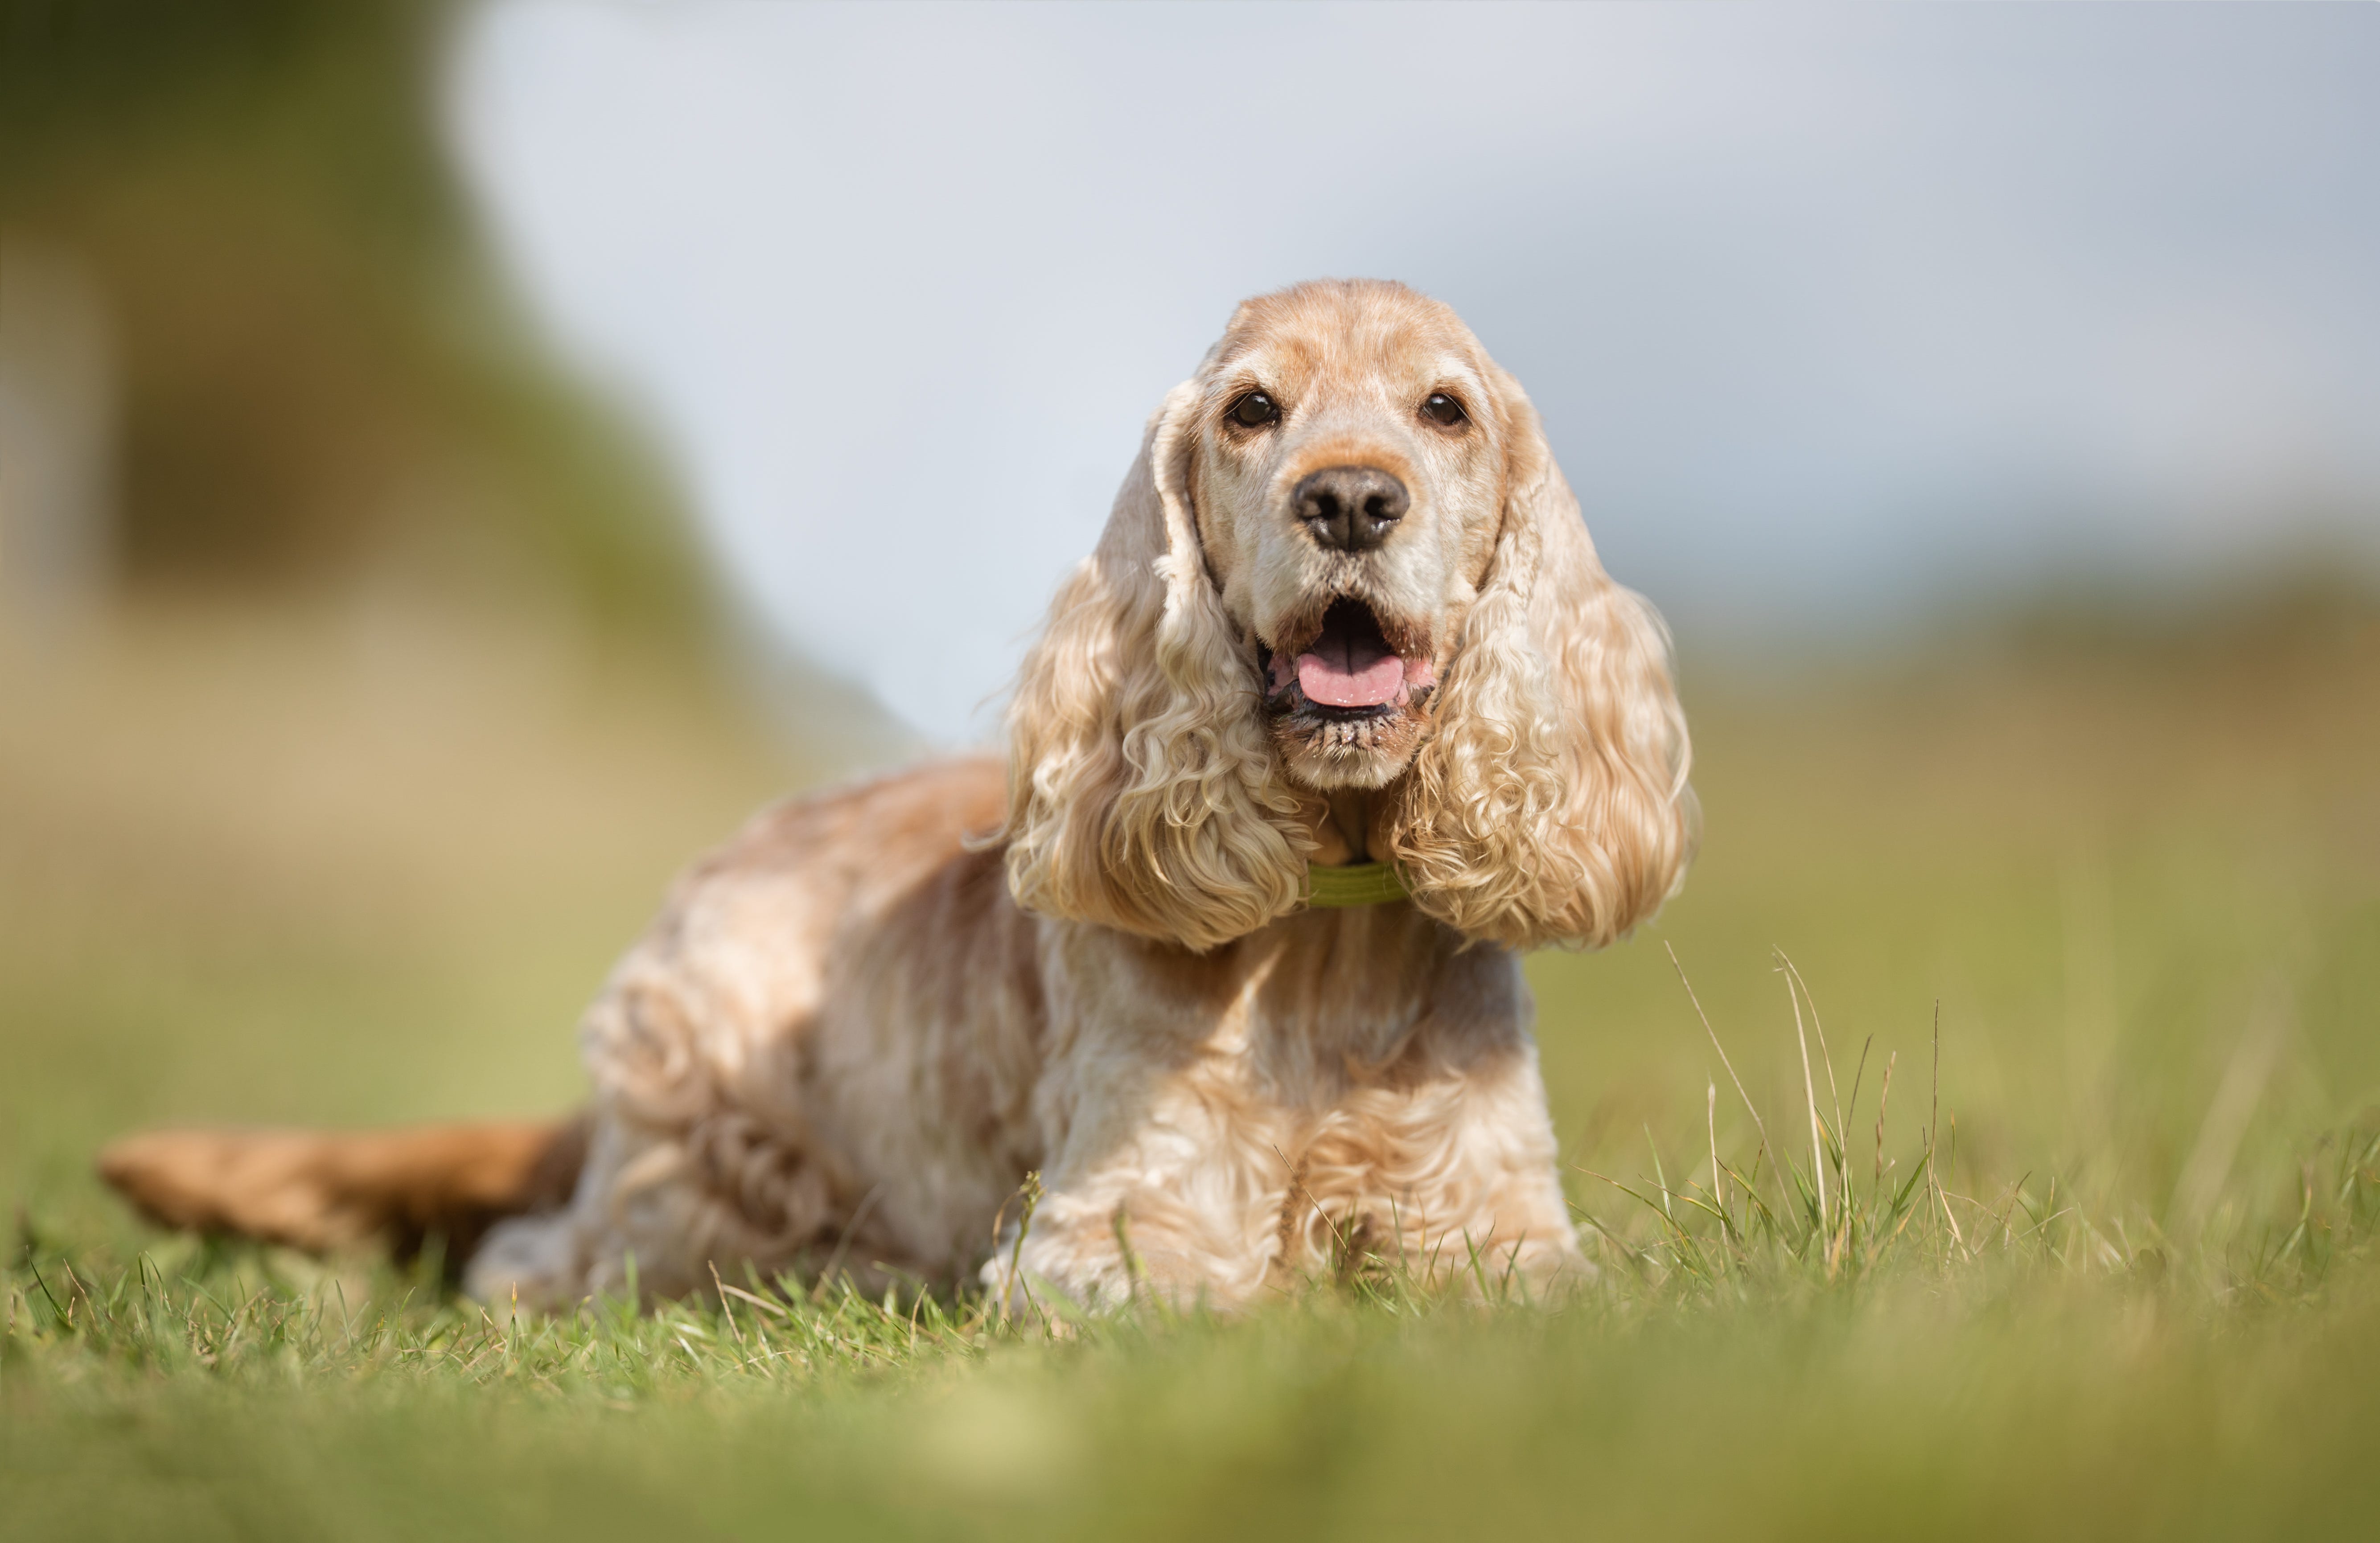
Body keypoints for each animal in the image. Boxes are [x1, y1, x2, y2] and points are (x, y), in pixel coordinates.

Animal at [97, 279, 1694, 1314]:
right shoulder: (1110, 1228)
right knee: (543, 1262)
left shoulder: (1503, 1218)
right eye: (1254, 408)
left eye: (1444, 409)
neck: (1329, 927)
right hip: (689, 1118)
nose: (1352, 498)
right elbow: (1198, 1282)